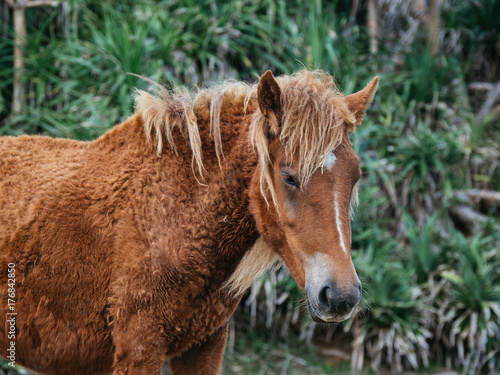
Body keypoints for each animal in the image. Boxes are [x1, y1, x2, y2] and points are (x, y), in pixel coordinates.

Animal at [0, 70, 376, 374]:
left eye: (355, 177)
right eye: (288, 177)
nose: (340, 296)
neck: (174, 217)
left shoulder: (204, 347)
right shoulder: (139, 349)